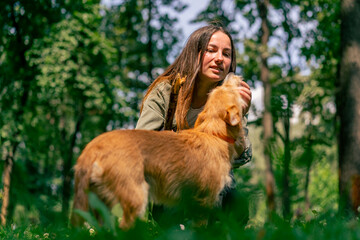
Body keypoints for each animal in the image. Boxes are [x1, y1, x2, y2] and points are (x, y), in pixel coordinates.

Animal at [71, 72, 245, 229]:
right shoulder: (204, 201)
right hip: (135, 198)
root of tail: (92, 148)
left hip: (100, 205)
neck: (214, 133)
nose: (230, 73)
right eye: (229, 89)